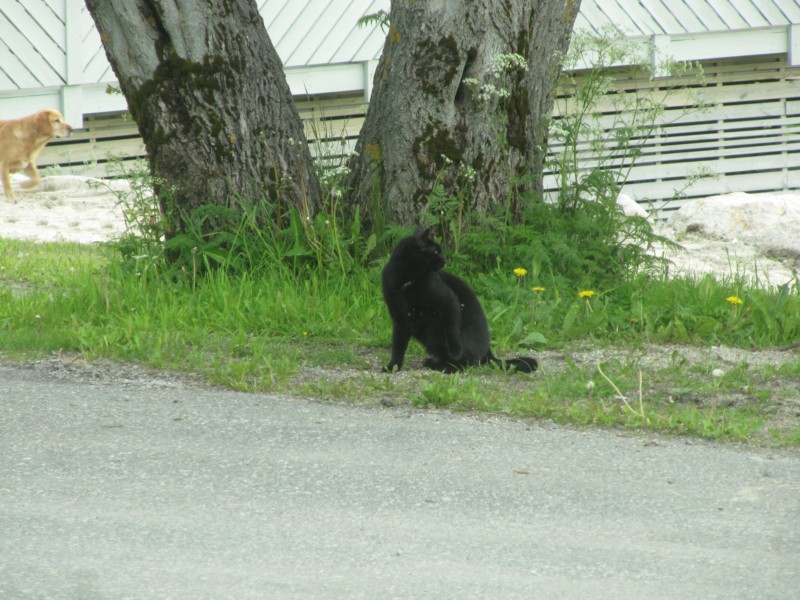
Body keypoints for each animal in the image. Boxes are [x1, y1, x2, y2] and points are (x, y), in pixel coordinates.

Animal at [382, 227, 536, 372]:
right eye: (436, 252)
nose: (444, 260)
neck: (406, 281)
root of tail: (488, 353)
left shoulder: (448, 300)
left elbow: (452, 331)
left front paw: (455, 351)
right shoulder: (400, 317)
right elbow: (398, 346)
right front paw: (393, 366)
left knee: (470, 362)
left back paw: (444, 366)